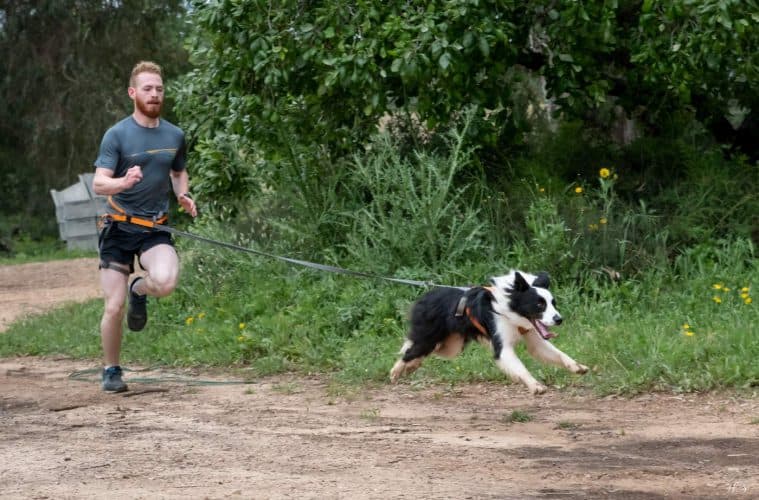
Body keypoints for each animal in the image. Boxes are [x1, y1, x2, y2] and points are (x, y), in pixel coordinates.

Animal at [389, 270, 588, 394]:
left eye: (553, 303)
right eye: (539, 304)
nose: (559, 319)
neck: (512, 309)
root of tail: (426, 295)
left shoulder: (534, 337)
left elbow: (558, 354)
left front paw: (578, 367)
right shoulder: (502, 346)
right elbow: (520, 367)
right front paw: (535, 386)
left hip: (451, 345)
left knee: (421, 350)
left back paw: (411, 367)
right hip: (431, 337)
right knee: (411, 350)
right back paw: (396, 371)